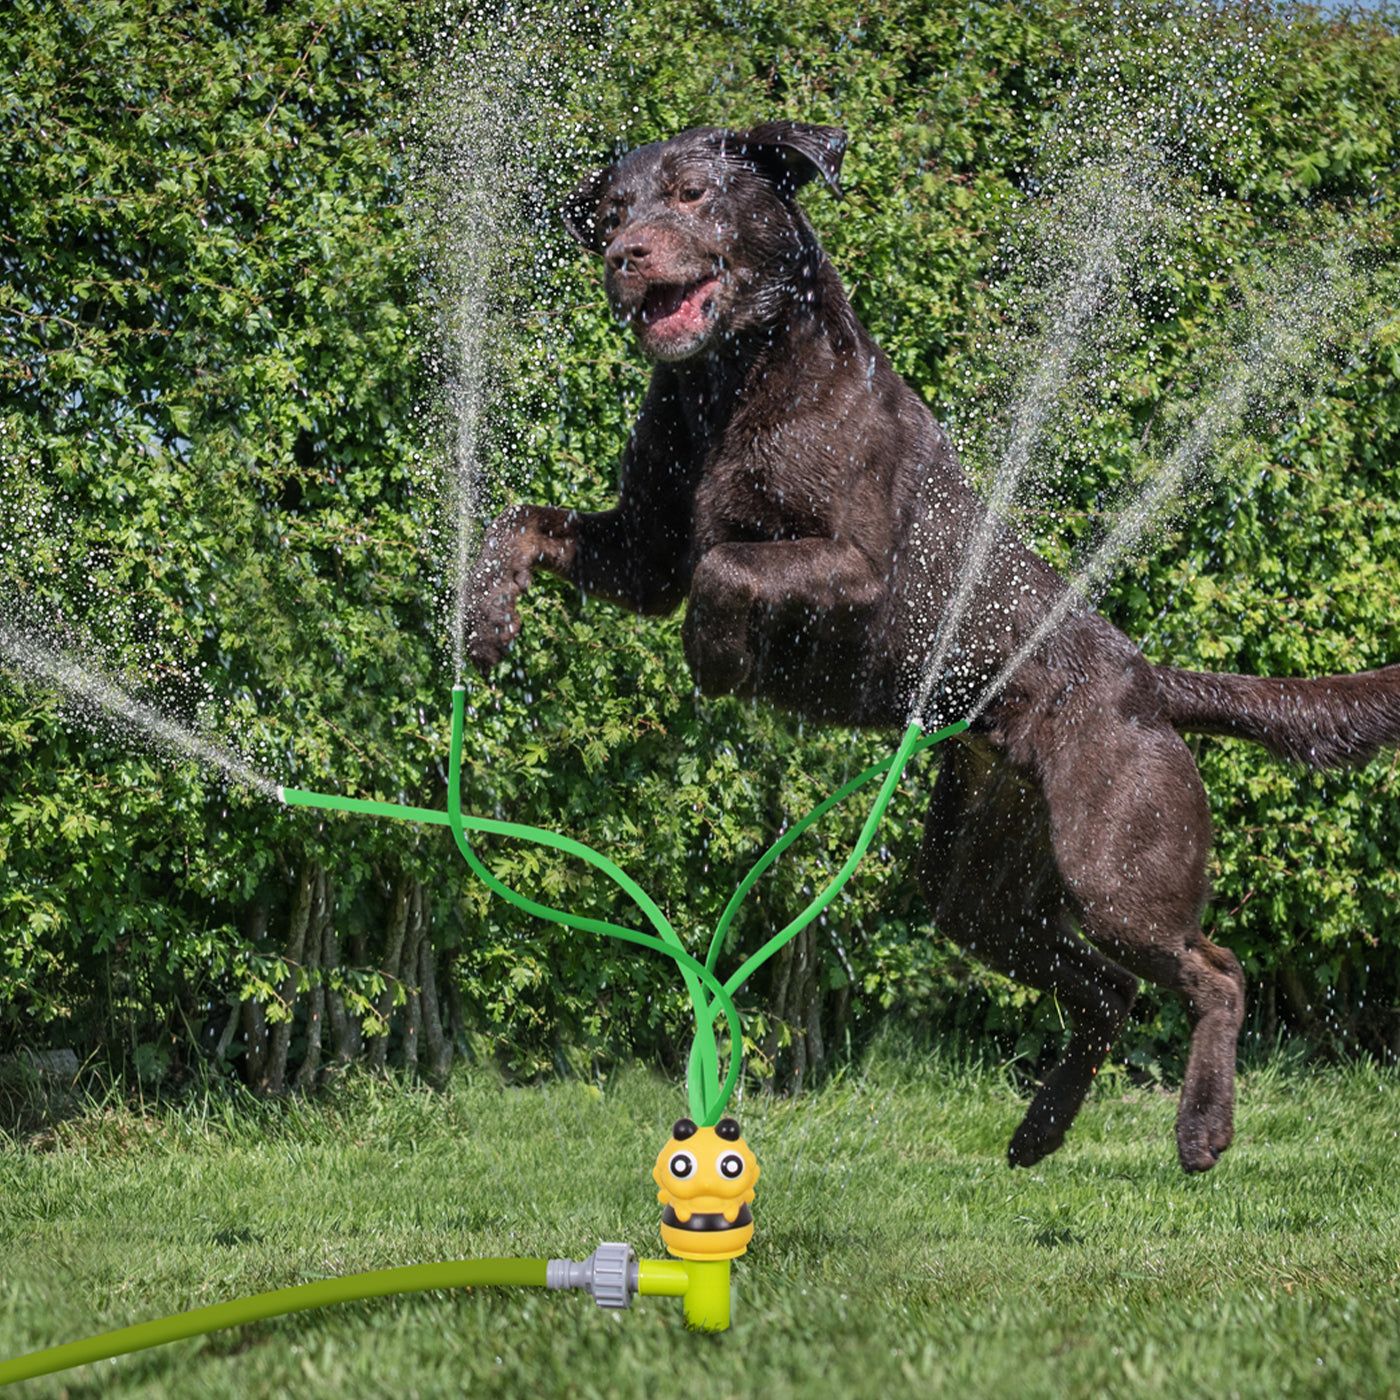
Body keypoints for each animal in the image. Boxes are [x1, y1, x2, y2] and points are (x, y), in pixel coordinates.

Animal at [467, 123, 1400, 1170]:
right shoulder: (644, 553)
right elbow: (523, 522)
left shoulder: (857, 567)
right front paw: (485, 619)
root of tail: (1145, 680)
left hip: (1117, 869)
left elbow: (729, 568)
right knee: (1103, 990)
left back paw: (1201, 1127)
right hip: (979, 883)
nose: (624, 258)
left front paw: (715, 657)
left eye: (694, 193)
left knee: (1217, 972)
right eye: (612, 211)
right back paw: (1040, 1130)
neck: (728, 379)